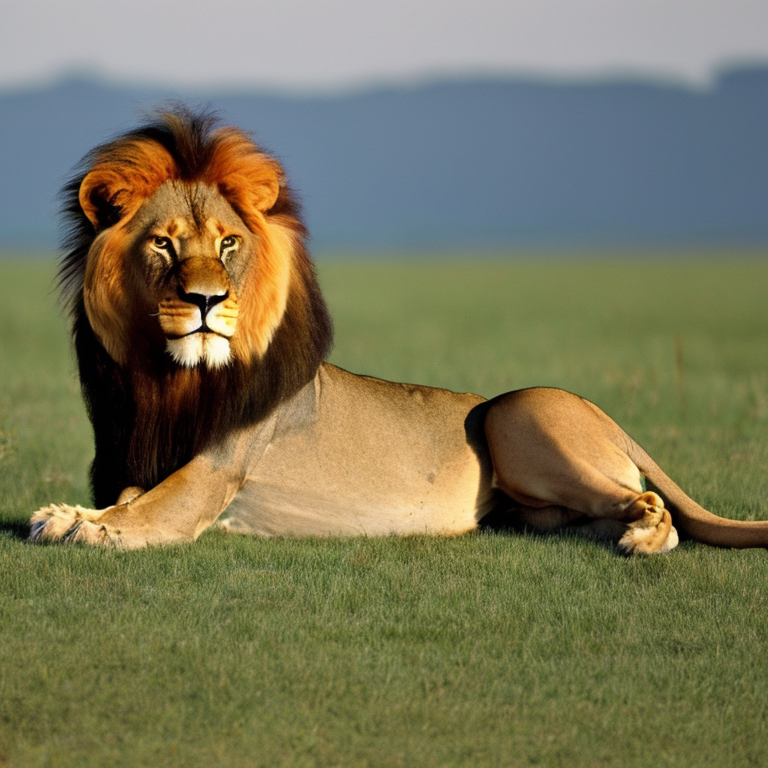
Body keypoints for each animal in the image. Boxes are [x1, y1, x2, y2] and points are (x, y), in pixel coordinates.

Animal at [30, 108, 768, 554]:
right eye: (163, 243)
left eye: (228, 243)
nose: (206, 300)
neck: (173, 376)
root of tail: (607, 416)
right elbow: (129, 496)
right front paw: (69, 513)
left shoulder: (213, 474)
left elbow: (141, 513)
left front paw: (74, 525)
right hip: (531, 501)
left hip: (514, 416)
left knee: (650, 501)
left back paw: (643, 539)